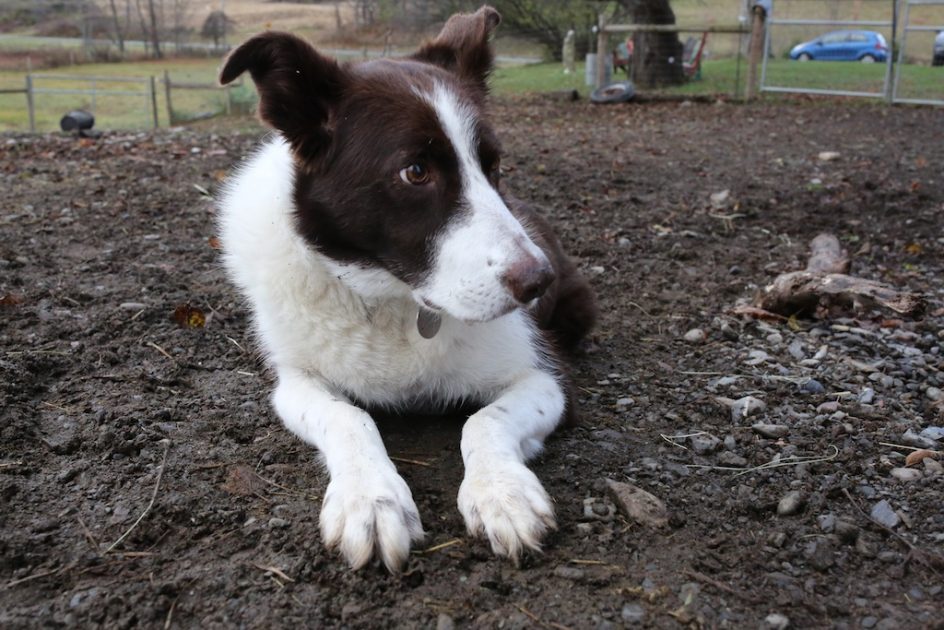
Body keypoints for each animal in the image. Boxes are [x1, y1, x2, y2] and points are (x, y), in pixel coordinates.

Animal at [218, 4, 592, 576]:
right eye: (416, 171)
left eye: (493, 165)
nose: (538, 281)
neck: (394, 298)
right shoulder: (295, 383)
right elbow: (349, 418)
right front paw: (371, 500)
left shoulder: (547, 376)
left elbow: (484, 419)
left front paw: (501, 492)